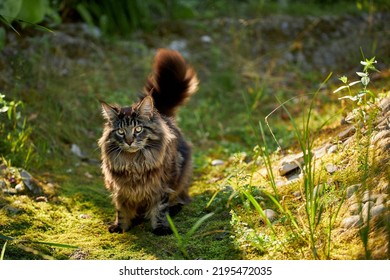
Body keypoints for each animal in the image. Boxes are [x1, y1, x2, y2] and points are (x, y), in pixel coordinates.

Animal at [97, 48, 198, 234]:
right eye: (121, 132)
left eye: (138, 129)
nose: (129, 141)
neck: (134, 163)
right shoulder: (119, 189)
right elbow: (121, 210)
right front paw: (120, 226)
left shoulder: (162, 185)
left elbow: (160, 208)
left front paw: (160, 228)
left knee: (180, 198)